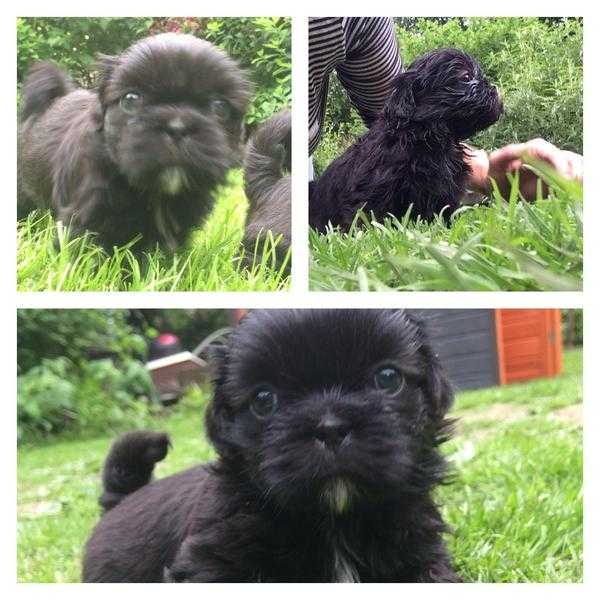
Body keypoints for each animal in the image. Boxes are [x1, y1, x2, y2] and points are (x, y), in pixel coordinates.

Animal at [82, 310, 460, 580]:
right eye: (264, 400)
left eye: (388, 378)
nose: (330, 428)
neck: (334, 518)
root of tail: (120, 501)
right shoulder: (214, 564)